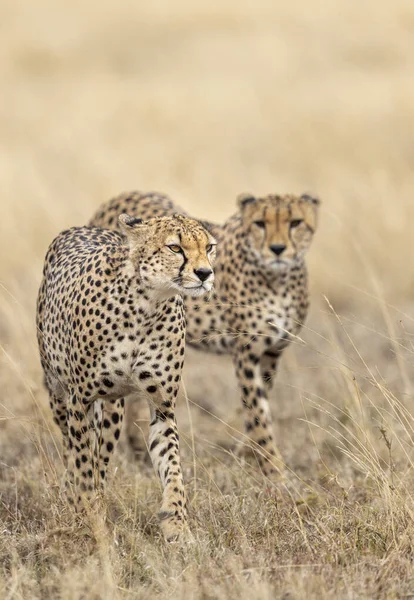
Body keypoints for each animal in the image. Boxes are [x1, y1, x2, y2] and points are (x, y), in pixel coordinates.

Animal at [36, 212, 217, 540]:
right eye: (174, 247)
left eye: (209, 247)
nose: (204, 273)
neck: (148, 305)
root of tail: (84, 228)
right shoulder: (79, 400)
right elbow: (82, 464)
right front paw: (89, 518)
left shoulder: (162, 406)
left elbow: (172, 466)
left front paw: (176, 524)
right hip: (58, 395)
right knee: (72, 450)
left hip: (113, 411)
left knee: (101, 458)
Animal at [89, 192, 318, 478]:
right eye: (260, 223)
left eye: (295, 222)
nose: (277, 249)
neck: (278, 279)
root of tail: (123, 195)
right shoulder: (247, 352)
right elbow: (257, 411)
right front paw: (274, 469)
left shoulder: (271, 352)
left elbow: (259, 407)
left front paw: (247, 453)